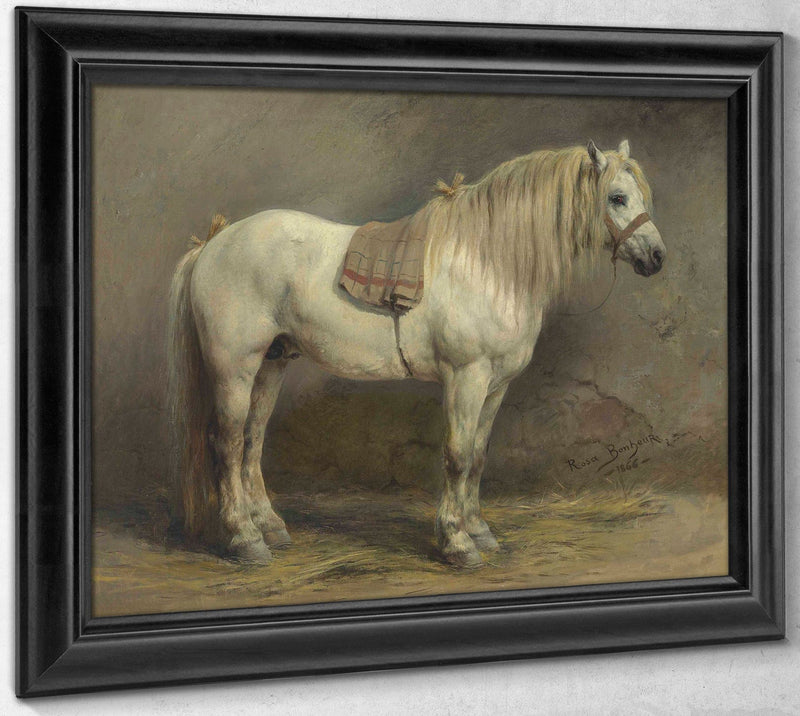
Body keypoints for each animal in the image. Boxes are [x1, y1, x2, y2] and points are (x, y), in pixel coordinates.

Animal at [167, 139, 666, 568]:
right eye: (617, 197)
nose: (658, 257)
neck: (488, 262)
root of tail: (214, 243)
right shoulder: (467, 377)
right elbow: (457, 455)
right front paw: (457, 543)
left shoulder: (496, 386)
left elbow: (478, 456)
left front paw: (479, 530)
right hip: (235, 368)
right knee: (228, 443)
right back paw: (244, 539)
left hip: (270, 364)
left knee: (251, 442)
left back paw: (269, 527)